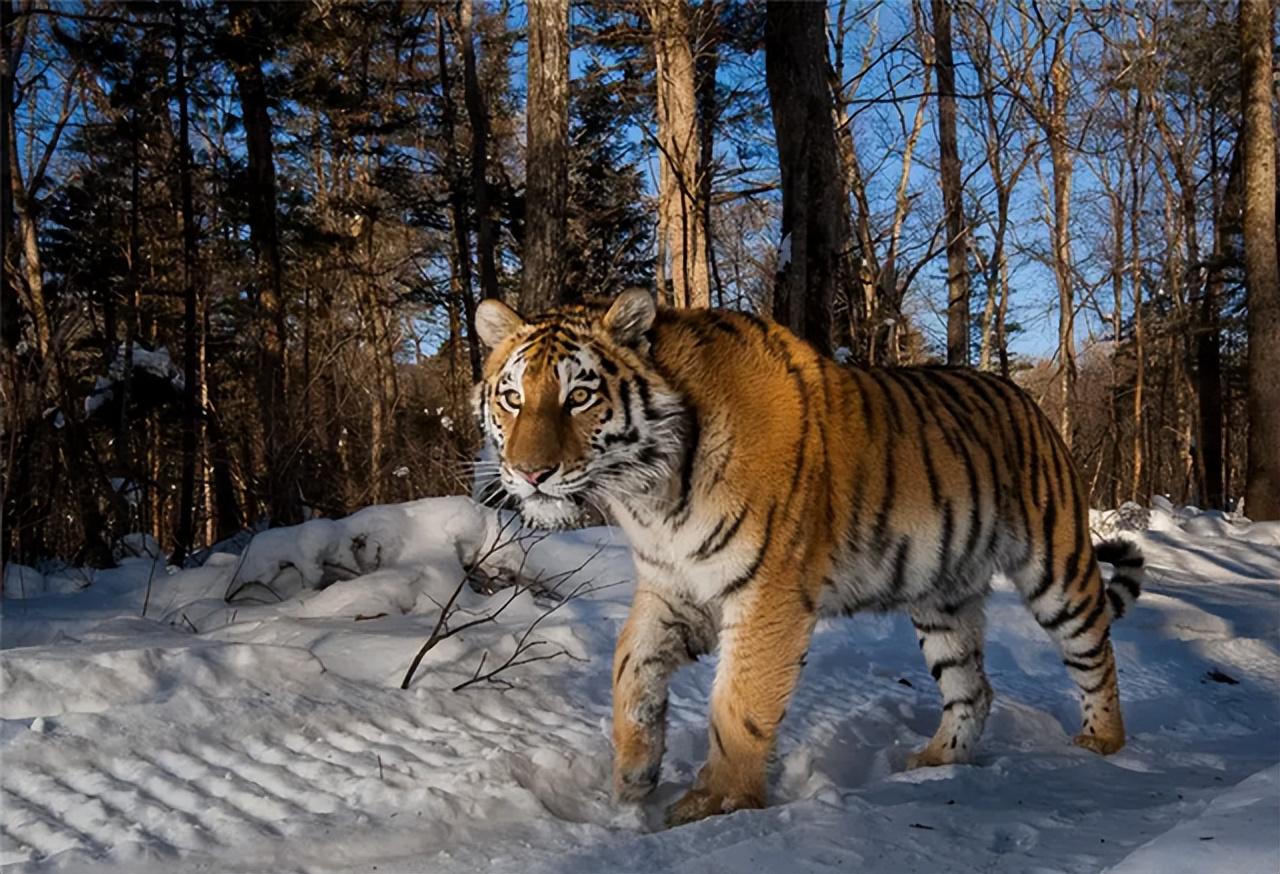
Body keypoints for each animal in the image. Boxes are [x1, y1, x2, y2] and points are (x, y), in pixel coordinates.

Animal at [471, 290, 1141, 829]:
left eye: (580, 396)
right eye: (512, 398)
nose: (530, 474)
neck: (651, 493)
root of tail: (1028, 399)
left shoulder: (766, 592)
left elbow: (738, 703)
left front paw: (717, 802)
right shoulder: (674, 586)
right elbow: (630, 668)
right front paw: (633, 777)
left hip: (1056, 566)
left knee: (1095, 652)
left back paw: (1101, 746)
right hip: (942, 597)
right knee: (972, 687)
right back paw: (935, 762)